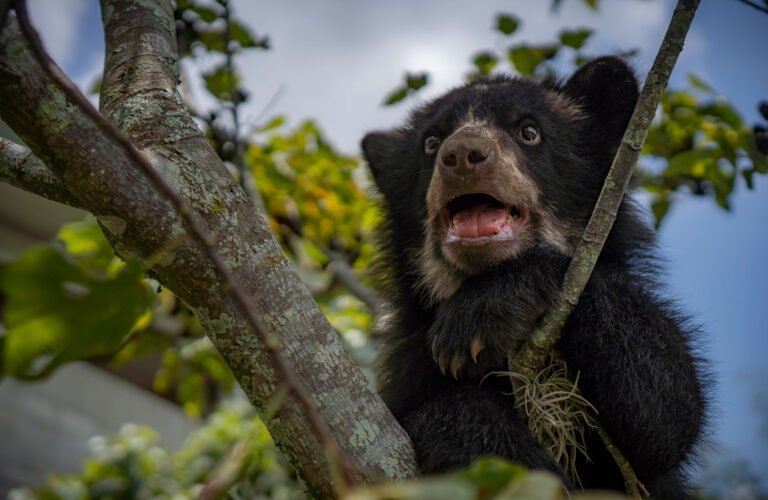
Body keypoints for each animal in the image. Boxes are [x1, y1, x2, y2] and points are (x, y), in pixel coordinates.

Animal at [362, 57, 707, 498]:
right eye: (431, 142)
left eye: (529, 131)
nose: (463, 153)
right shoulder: (409, 362)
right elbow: (426, 409)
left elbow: (667, 411)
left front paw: (477, 318)